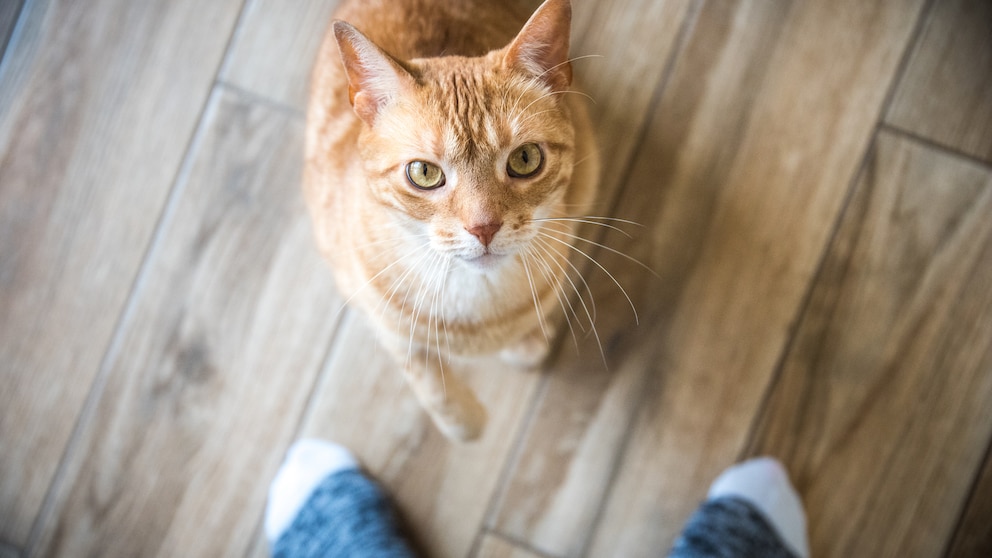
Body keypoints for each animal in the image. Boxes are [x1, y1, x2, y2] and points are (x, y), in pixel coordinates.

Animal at [302, 0, 596, 442]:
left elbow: (530, 328)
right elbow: (428, 381)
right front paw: (464, 420)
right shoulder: (379, 316)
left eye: (525, 159)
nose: (484, 227)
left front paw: (528, 343)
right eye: (424, 172)